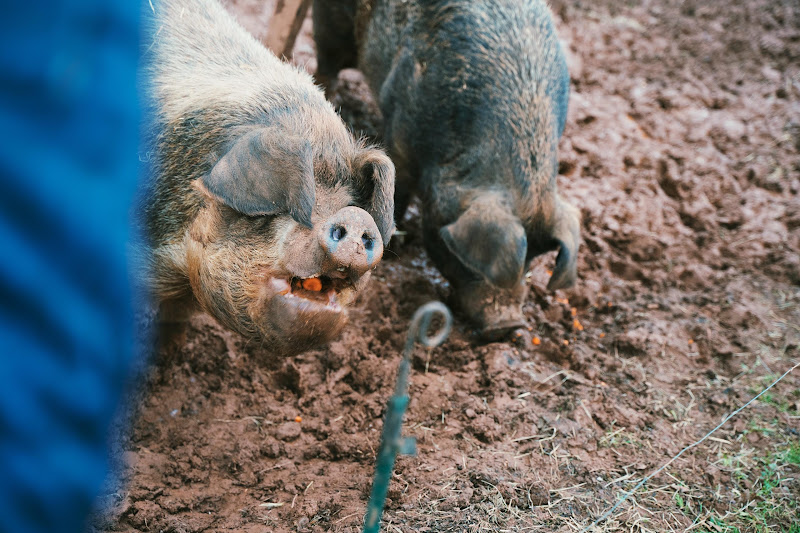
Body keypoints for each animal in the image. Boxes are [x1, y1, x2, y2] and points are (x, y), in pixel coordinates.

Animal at [313, 0, 581, 339]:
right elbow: (398, 190)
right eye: (465, 259)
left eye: (532, 259)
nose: (509, 325)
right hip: (333, 23)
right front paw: (394, 240)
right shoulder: (401, 133)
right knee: (327, 60)